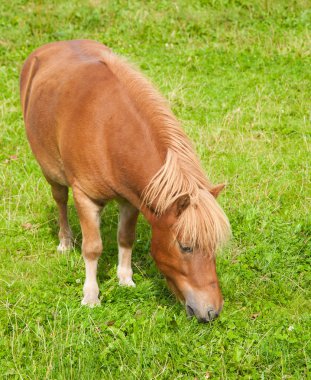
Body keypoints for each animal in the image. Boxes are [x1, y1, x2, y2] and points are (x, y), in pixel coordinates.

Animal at [20, 40, 232, 322]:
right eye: (186, 247)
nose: (211, 311)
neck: (109, 132)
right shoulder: (85, 198)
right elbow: (93, 248)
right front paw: (90, 297)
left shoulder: (131, 200)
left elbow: (125, 237)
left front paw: (125, 279)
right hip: (51, 172)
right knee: (60, 200)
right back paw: (65, 241)